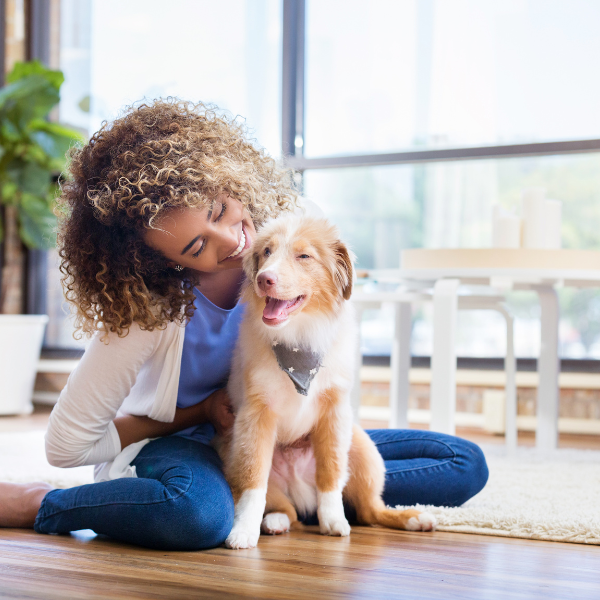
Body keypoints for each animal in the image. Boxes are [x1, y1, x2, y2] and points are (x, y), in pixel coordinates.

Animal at [220, 214, 436, 548]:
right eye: (266, 252)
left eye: (304, 256)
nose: (264, 279)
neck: (299, 337)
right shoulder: (255, 415)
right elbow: (254, 480)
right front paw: (243, 530)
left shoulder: (335, 412)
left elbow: (331, 473)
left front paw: (333, 520)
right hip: (235, 455)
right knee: (286, 509)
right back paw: (274, 522)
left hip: (363, 449)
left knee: (370, 510)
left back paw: (415, 518)